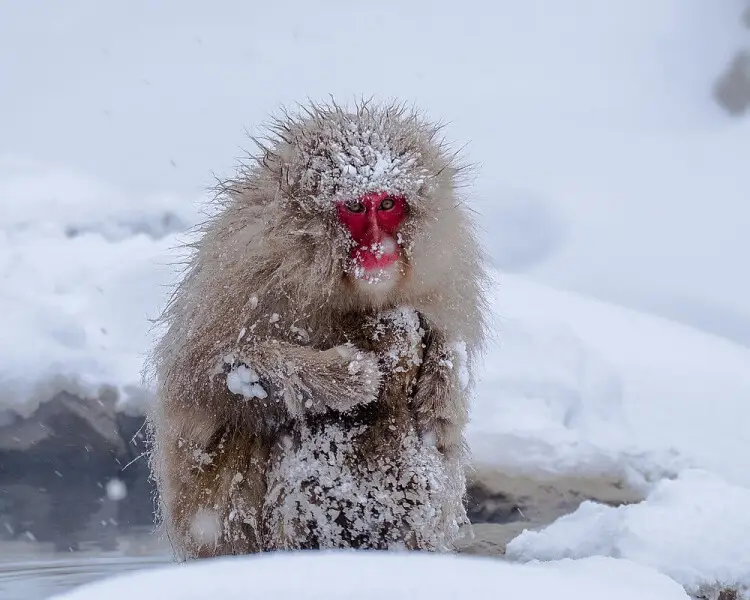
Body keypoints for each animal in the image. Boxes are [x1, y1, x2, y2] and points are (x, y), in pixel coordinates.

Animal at [145, 100, 489, 559]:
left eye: (388, 204)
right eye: (356, 209)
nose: (379, 248)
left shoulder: (447, 274)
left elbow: (444, 399)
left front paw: (443, 381)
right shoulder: (242, 268)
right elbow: (204, 378)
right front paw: (343, 377)